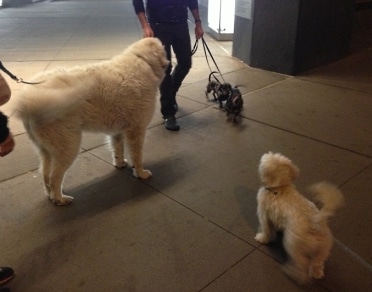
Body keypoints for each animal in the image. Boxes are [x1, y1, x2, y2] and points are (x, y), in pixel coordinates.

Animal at [15, 37, 169, 205]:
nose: (169, 63)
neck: (143, 60)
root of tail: (28, 101)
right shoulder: (137, 130)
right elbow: (137, 156)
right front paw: (140, 173)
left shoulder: (118, 131)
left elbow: (117, 149)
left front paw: (120, 164)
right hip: (68, 147)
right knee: (54, 177)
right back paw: (60, 199)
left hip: (46, 150)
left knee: (45, 175)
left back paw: (51, 196)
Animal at [254, 152, 344, 284]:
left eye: (265, 161)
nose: (266, 154)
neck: (280, 188)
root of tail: (314, 223)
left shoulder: (263, 213)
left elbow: (266, 230)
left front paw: (262, 238)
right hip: (323, 249)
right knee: (317, 263)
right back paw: (317, 274)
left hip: (293, 244)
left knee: (303, 264)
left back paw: (293, 273)